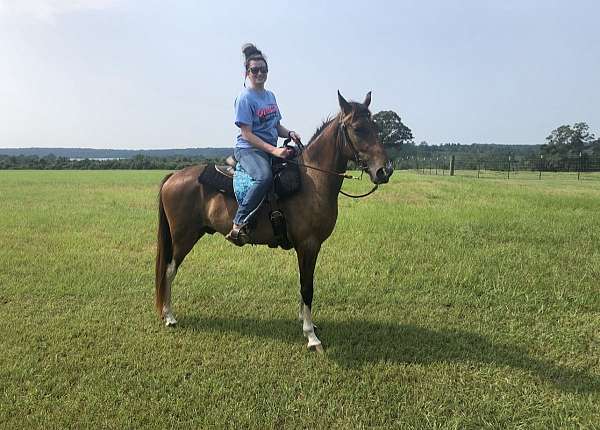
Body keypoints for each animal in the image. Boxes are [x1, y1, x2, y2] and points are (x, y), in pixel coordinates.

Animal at [156, 91, 394, 352]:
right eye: (358, 129)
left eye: (375, 126)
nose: (384, 171)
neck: (313, 180)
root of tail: (173, 176)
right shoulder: (308, 244)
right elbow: (307, 287)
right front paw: (311, 336)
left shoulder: (311, 247)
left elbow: (305, 282)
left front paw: (306, 322)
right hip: (183, 237)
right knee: (169, 269)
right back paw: (169, 316)